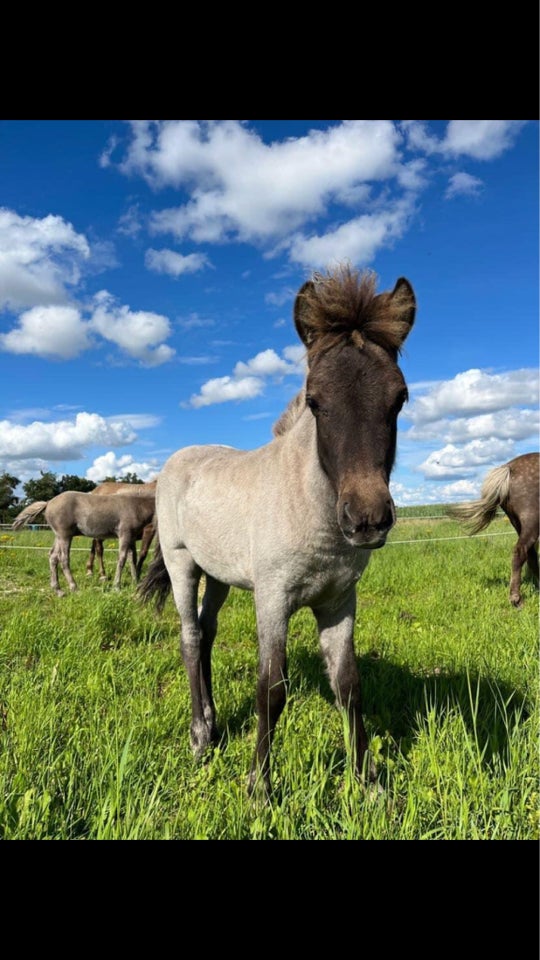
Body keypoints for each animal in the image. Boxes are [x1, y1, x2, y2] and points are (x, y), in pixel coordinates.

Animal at [13, 492, 156, 596]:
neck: (137, 506)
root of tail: (48, 503)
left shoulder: (131, 538)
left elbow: (132, 558)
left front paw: (136, 582)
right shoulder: (124, 535)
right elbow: (122, 559)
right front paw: (117, 586)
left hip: (58, 536)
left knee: (53, 556)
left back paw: (58, 590)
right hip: (64, 535)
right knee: (63, 559)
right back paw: (74, 587)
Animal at [450, 452, 536, 608]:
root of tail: (508, 468)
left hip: (518, 523)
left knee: (530, 554)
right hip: (531, 521)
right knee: (520, 552)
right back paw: (517, 600)